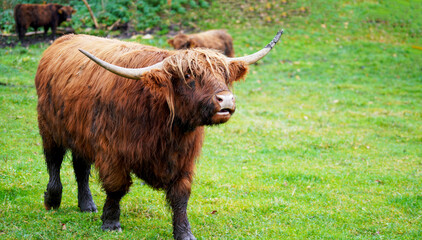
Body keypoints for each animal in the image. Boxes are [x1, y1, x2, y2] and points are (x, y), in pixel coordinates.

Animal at [33, 29, 284, 239]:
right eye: (189, 77)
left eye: (224, 75)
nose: (226, 100)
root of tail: (61, 41)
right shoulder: (112, 152)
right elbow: (116, 187)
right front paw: (111, 223)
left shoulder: (183, 160)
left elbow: (180, 196)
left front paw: (184, 233)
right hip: (49, 127)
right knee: (54, 161)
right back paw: (52, 200)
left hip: (80, 132)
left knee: (81, 167)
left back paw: (87, 205)